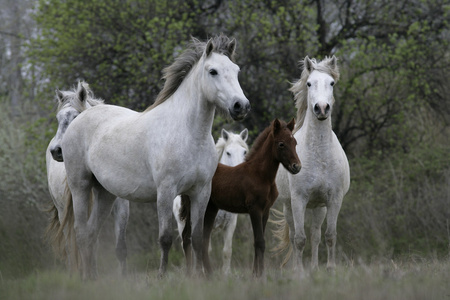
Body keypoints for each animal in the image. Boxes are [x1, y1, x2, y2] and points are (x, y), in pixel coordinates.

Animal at [45, 81, 130, 276]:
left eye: (77, 117)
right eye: (58, 118)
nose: (57, 151)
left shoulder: (121, 204)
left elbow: (120, 246)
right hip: (63, 210)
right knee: (72, 245)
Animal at [173, 127, 250, 276]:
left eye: (244, 152)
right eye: (228, 153)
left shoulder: (230, 224)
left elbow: (227, 251)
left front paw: (226, 274)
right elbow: (204, 248)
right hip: (182, 223)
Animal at [272, 55, 350, 276]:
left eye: (331, 83)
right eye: (308, 83)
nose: (322, 108)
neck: (320, 156)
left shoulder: (334, 200)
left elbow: (329, 235)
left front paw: (330, 269)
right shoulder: (298, 200)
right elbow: (299, 239)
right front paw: (299, 272)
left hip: (318, 207)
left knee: (316, 235)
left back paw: (315, 268)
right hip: (289, 207)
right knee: (293, 236)